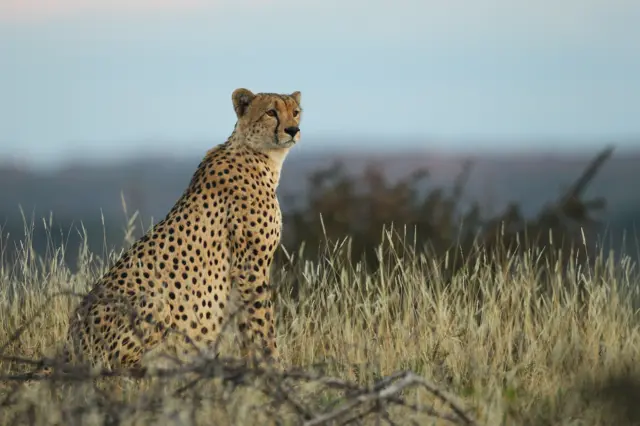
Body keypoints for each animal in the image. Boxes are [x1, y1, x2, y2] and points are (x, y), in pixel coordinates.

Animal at [61, 88, 302, 372]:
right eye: (271, 112)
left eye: (295, 111)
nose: (293, 129)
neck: (260, 155)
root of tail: (69, 344)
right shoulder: (250, 267)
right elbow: (263, 324)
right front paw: (275, 367)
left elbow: (248, 327)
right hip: (153, 301)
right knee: (118, 366)